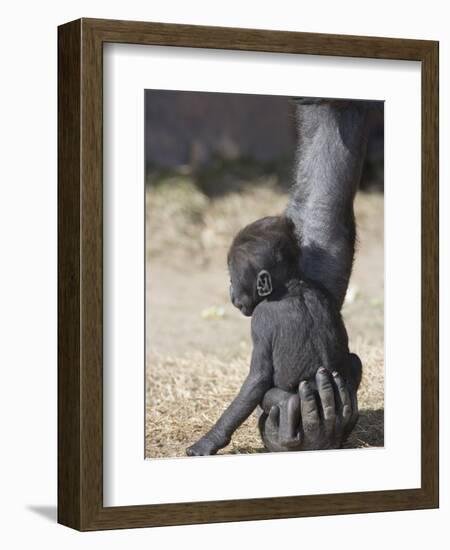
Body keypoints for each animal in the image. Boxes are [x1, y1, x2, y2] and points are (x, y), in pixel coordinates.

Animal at [186, 218, 356, 460]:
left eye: (233, 279)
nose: (230, 292)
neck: (290, 284)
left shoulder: (260, 318)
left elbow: (258, 377)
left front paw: (209, 441)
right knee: (355, 362)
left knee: (274, 396)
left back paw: (291, 407)